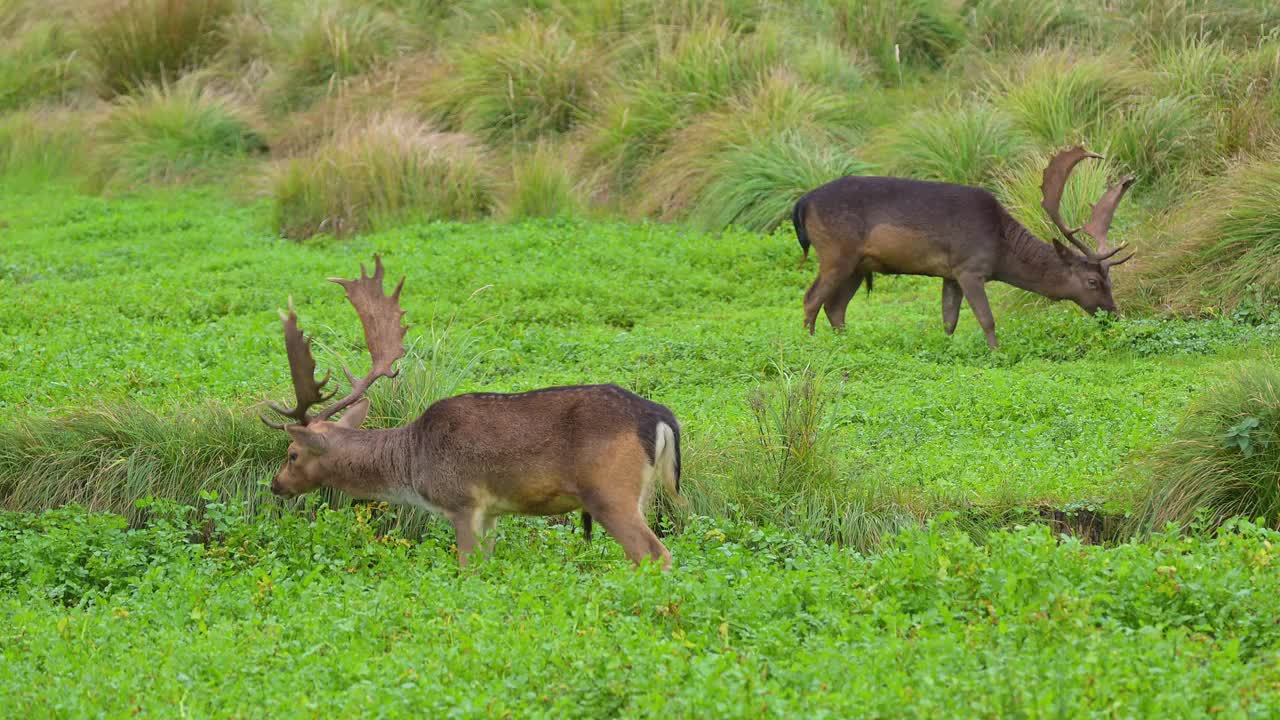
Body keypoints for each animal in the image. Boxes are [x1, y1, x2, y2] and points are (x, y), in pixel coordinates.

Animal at [256, 254, 686, 563]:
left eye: (292, 453)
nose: (276, 485)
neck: (413, 463)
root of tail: (661, 418)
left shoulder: (463, 502)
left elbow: (467, 569)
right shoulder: (493, 512)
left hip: (610, 491)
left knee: (656, 555)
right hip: (644, 494)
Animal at [793, 144, 1136, 345]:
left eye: (1109, 280)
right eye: (1092, 281)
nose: (1114, 315)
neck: (1001, 247)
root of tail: (802, 202)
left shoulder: (950, 274)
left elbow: (949, 320)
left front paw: (947, 349)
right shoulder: (970, 267)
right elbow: (987, 319)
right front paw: (996, 353)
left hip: (857, 264)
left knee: (835, 306)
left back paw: (844, 343)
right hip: (835, 252)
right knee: (811, 298)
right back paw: (809, 345)